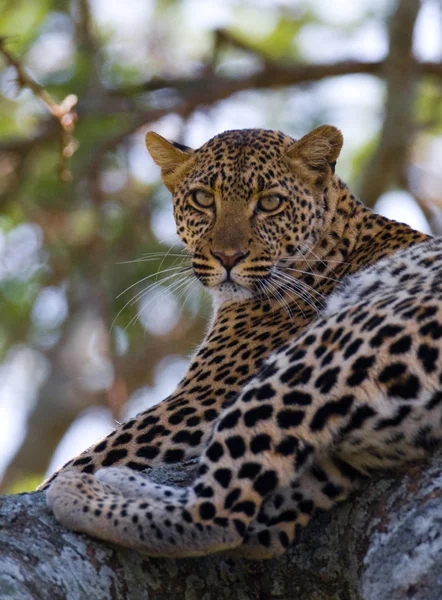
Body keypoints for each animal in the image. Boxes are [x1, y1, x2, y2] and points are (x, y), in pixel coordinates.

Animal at [43, 124, 436, 560]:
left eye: (270, 203)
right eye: (202, 199)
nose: (228, 257)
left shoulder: (197, 401)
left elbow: (91, 455)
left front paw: (61, 480)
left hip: (323, 353)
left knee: (218, 513)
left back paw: (80, 492)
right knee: (263, 530)